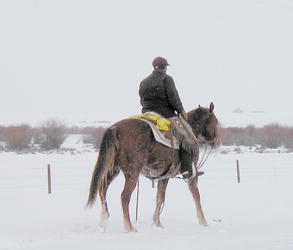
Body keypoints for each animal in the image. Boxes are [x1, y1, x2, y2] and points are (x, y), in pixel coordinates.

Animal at [86, 102, 219, 231]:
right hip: (132, 172)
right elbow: (196, 195)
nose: (217, 142)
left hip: (114, 169)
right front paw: (203, 221)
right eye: (216, 122)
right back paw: (129, 227)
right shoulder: (191, 175)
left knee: (102, 189)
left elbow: (159, 198)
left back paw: (104, 220)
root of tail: (115, 128)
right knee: (124, 197)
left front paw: (157, 223)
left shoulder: (163, 176)